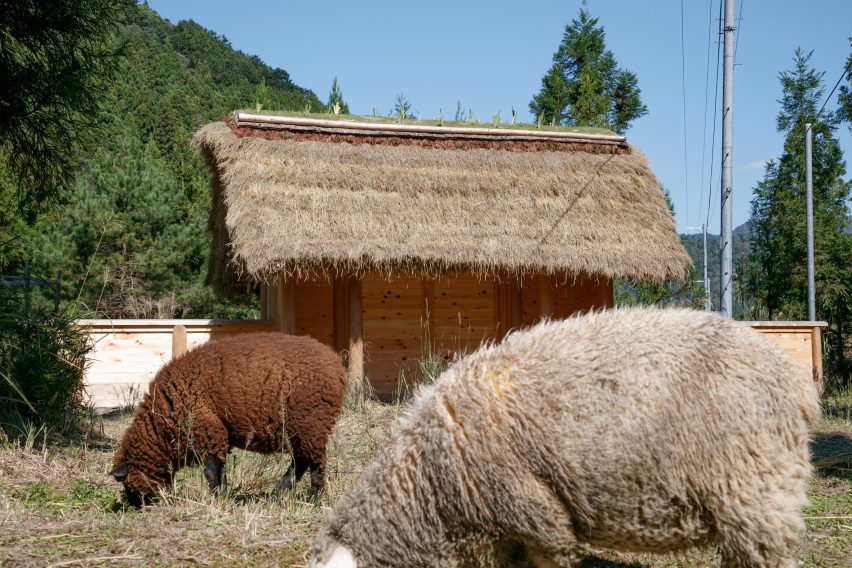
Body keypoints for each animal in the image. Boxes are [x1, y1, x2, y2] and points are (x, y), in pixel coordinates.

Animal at [110, 332, 346, 506]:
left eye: (125, 480)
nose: (134, 505)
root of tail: (336, 364)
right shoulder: (215, 437)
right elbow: (220, 470)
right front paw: (224, 496)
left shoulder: (206, 431)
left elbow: (211, 472)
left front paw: (216, 499)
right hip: (304, 428)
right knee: (301, 461)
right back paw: (279, 493)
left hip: (311, 422)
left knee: (315, 463)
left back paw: (312, 498)